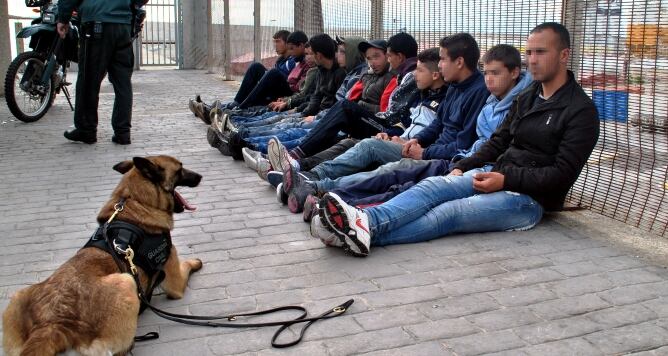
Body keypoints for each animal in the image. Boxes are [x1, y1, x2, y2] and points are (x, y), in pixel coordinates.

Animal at [2, 156, 204, 356]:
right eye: (180, 169)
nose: (200, 176)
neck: (135, 200)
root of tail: (51, 323)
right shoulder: (175, 281)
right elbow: (186, 267)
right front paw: (194, 262)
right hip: (126, 282)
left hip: (18, 296)